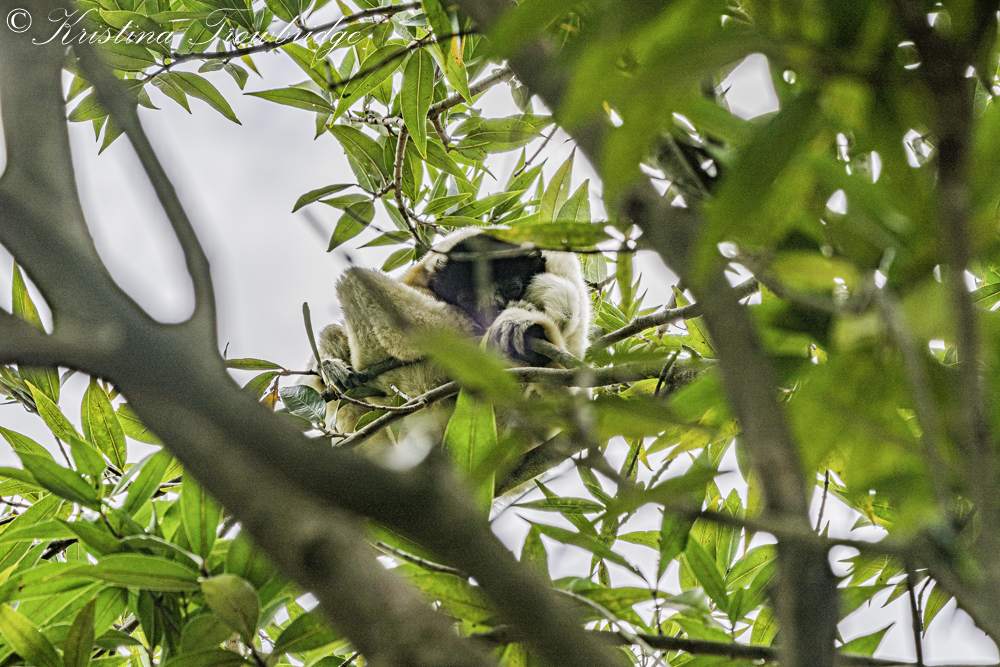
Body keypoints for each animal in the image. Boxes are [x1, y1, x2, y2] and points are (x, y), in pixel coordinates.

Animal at [302, 227, 591, 447]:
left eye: (511, 287)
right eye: (467, 298)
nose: (487, 314)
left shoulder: (560, 261)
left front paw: (523, 319)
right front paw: (326, 366)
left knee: (354, 282)